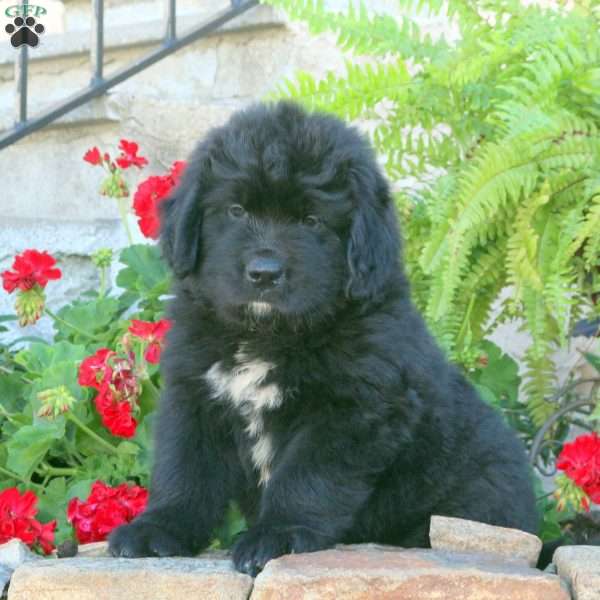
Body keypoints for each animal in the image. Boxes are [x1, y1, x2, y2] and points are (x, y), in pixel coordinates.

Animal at [108, 101, 540, 576]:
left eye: (311, 220)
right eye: (236, 210)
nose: (264, 273)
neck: (266, 335)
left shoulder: (353, 409)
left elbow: (306, 477)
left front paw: (277, 536)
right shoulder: (194, 393)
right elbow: (184, 469)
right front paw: (157, 528)